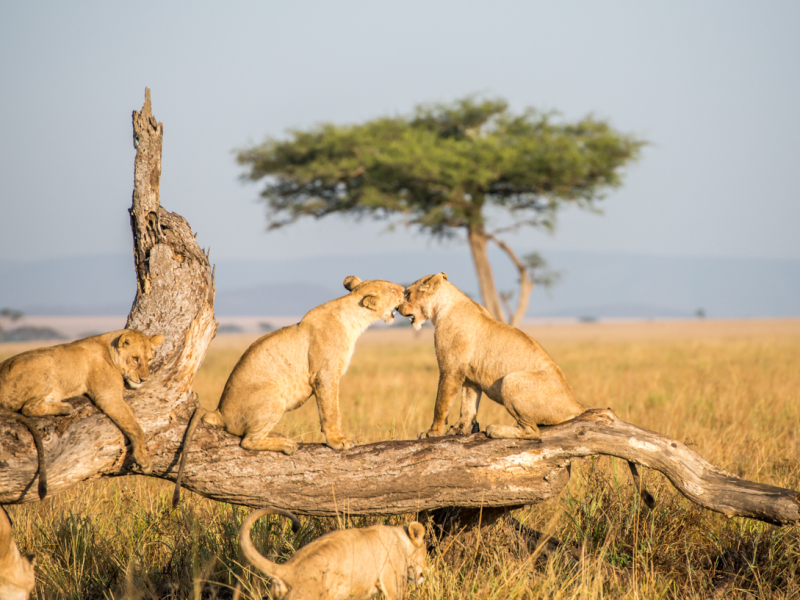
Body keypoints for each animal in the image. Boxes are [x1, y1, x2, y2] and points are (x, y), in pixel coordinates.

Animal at [0, 329, 164, 495]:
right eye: (135, 359)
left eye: (150, 359)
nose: (144, 379)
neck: (109, 349)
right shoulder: (108, 397)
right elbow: (135, 427)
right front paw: (143, 459)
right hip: (45, 361)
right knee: (28, 408)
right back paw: (65, 408)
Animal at [172, 276, 405, 507]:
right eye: (392, 289)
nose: (405, 290)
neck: (354, 317)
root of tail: (219, 412)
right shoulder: (325, 374)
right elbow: (331, 411)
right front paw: (338, 442)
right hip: (275, 394)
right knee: (247, 441)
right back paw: (286, 444)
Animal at [398, 273, 653, 507]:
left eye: (407, 293)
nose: (398, 308)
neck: (442, 307)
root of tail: (574, 402)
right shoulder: (470, 378)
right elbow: (468, 406)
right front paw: (461, 429)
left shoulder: (450, 370)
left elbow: (441, 404)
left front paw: (432, 432)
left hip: (511, 380)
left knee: (533, 432)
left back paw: (495, 429)